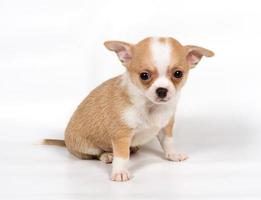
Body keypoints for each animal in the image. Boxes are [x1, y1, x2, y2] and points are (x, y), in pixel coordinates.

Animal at [43, 36, 213, 182]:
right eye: (144, 75)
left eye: (178, 74)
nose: (162, 90)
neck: (150, 106)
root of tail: (65, 142)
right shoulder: (121, 136)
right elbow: (122, 156)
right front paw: (119, 172)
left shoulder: (165, 127)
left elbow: (168, 143)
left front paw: (172, 155)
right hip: (87, 147)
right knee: (95, 154)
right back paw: (107, 156)